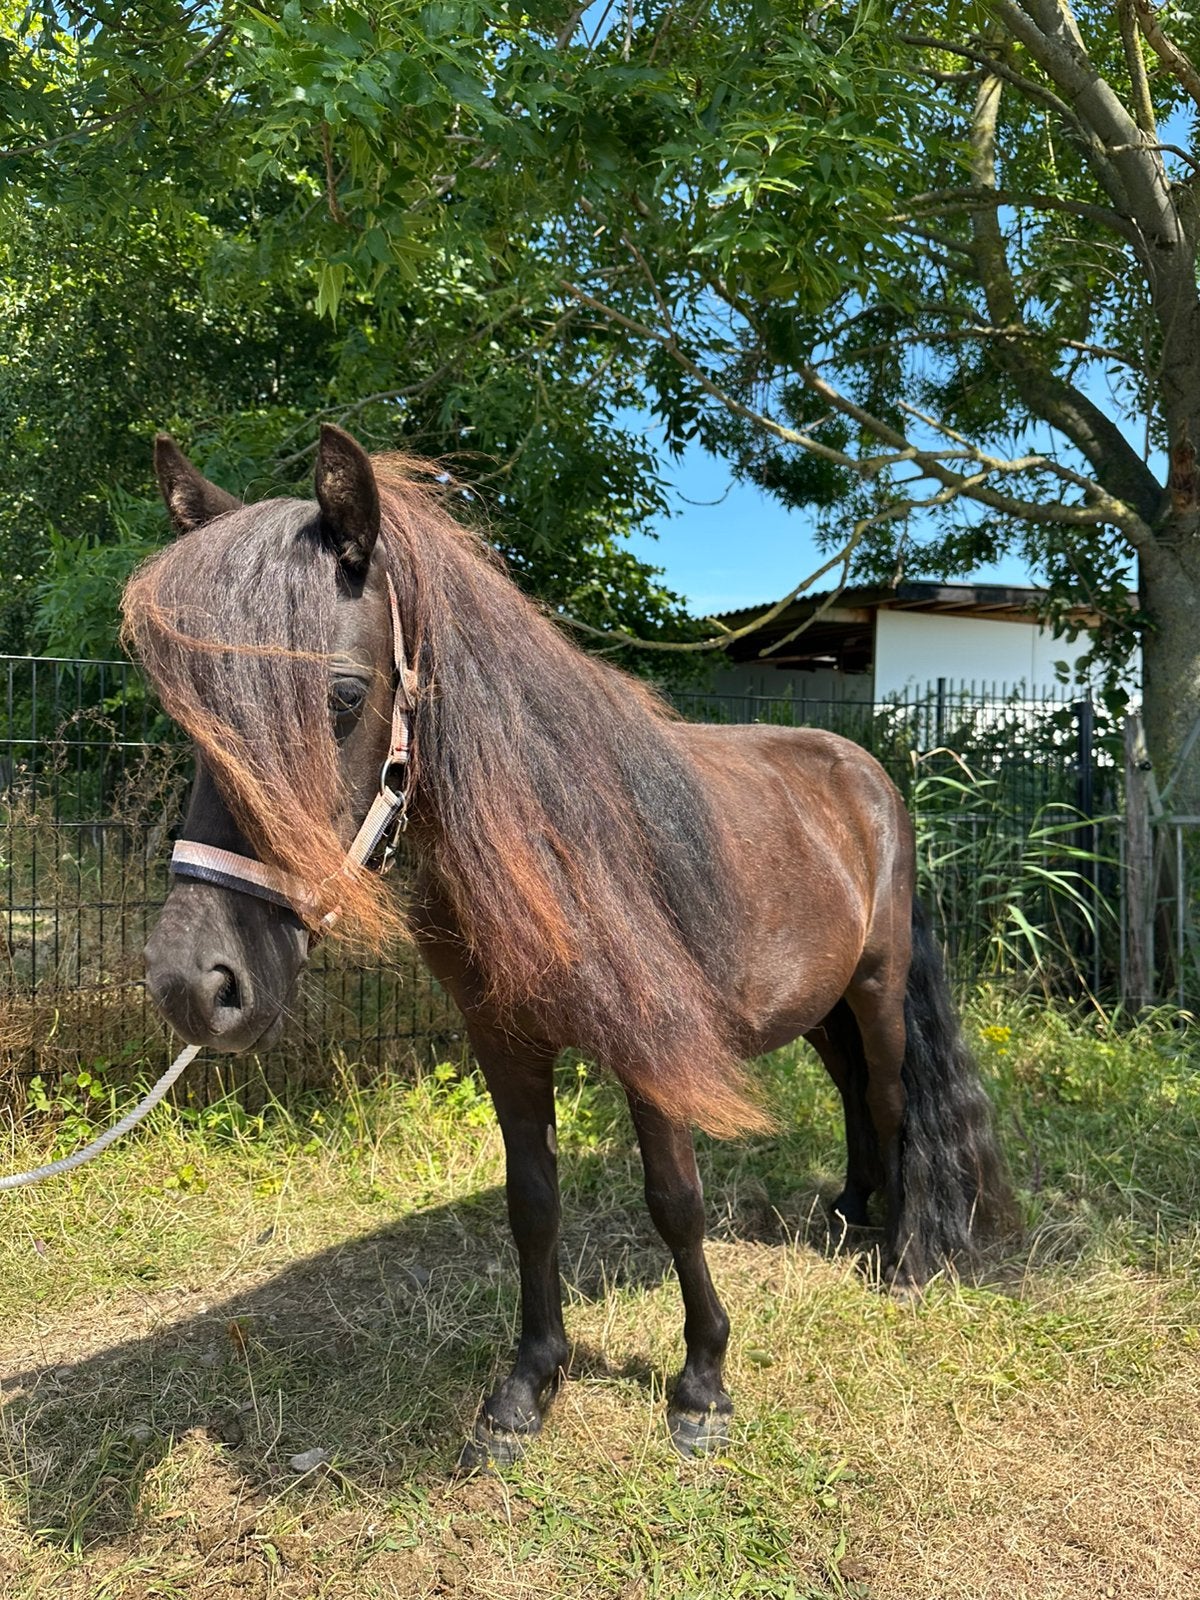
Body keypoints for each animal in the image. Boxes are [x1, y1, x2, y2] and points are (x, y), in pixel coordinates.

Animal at [123, 424, 1012, 1466]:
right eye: (191, 713)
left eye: (342, 695)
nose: (193, 983)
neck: (556, 849)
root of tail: (869, 776)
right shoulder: (505, 1040)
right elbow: (532, 1204)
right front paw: (526, 1389)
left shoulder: (656, 1050)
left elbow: (676, 1202)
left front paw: (702, 1386)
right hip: (818, 1004)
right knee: (851, 1095)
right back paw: (851, 1214)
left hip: (874, 989)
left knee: (890, 1094)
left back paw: (907, 1257)